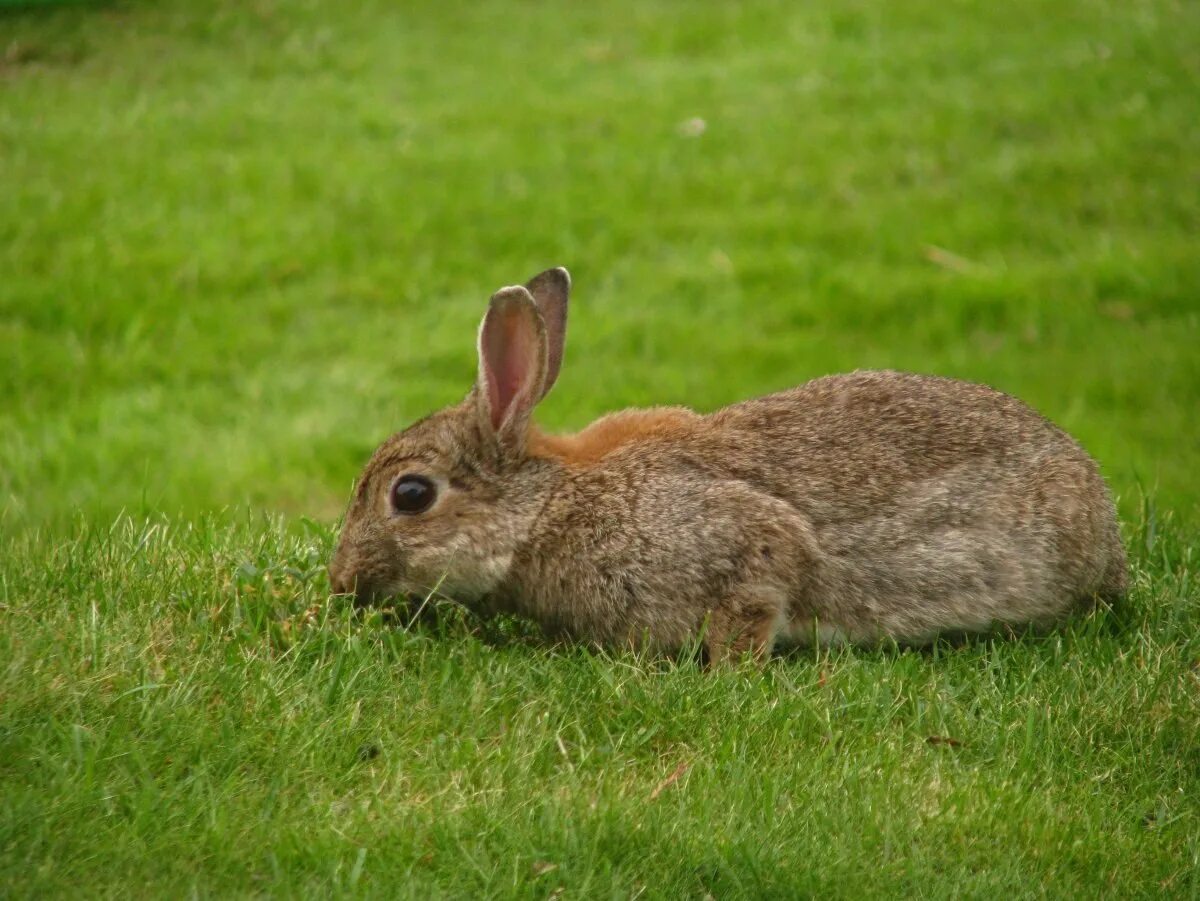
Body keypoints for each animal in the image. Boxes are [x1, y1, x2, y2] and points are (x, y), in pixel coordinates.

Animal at [328, 267, 1123, 662]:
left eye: (410, 493)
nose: (340, 581)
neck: (547, 508)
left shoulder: (737, 541)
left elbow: (760, 588)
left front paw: (731, 670)